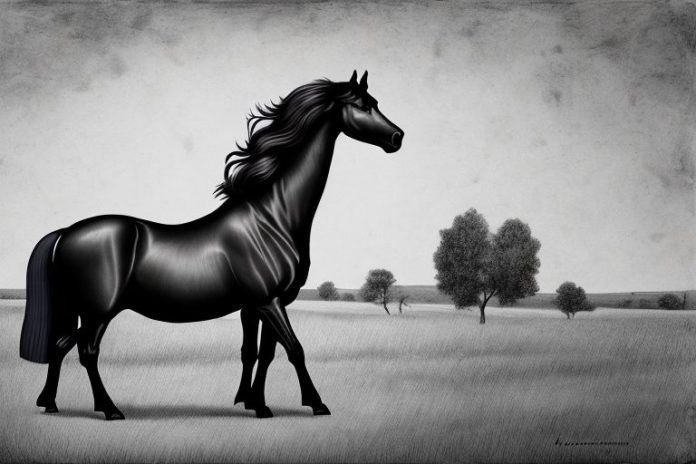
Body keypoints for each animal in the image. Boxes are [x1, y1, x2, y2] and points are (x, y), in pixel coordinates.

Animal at [19, 71, 404, 420]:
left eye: (375, 102)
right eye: (363, 106)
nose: (397, 137)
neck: (272, 217)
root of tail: (66, 232)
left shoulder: (259, 304)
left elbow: (258, 353)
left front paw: (253, 402)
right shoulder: (269, 301)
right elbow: (294, 349)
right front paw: (315, 403)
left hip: (83, 309)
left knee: (61, 345)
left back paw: (50, 403)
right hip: (99, 311)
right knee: (87, 352)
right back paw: (109, 409)